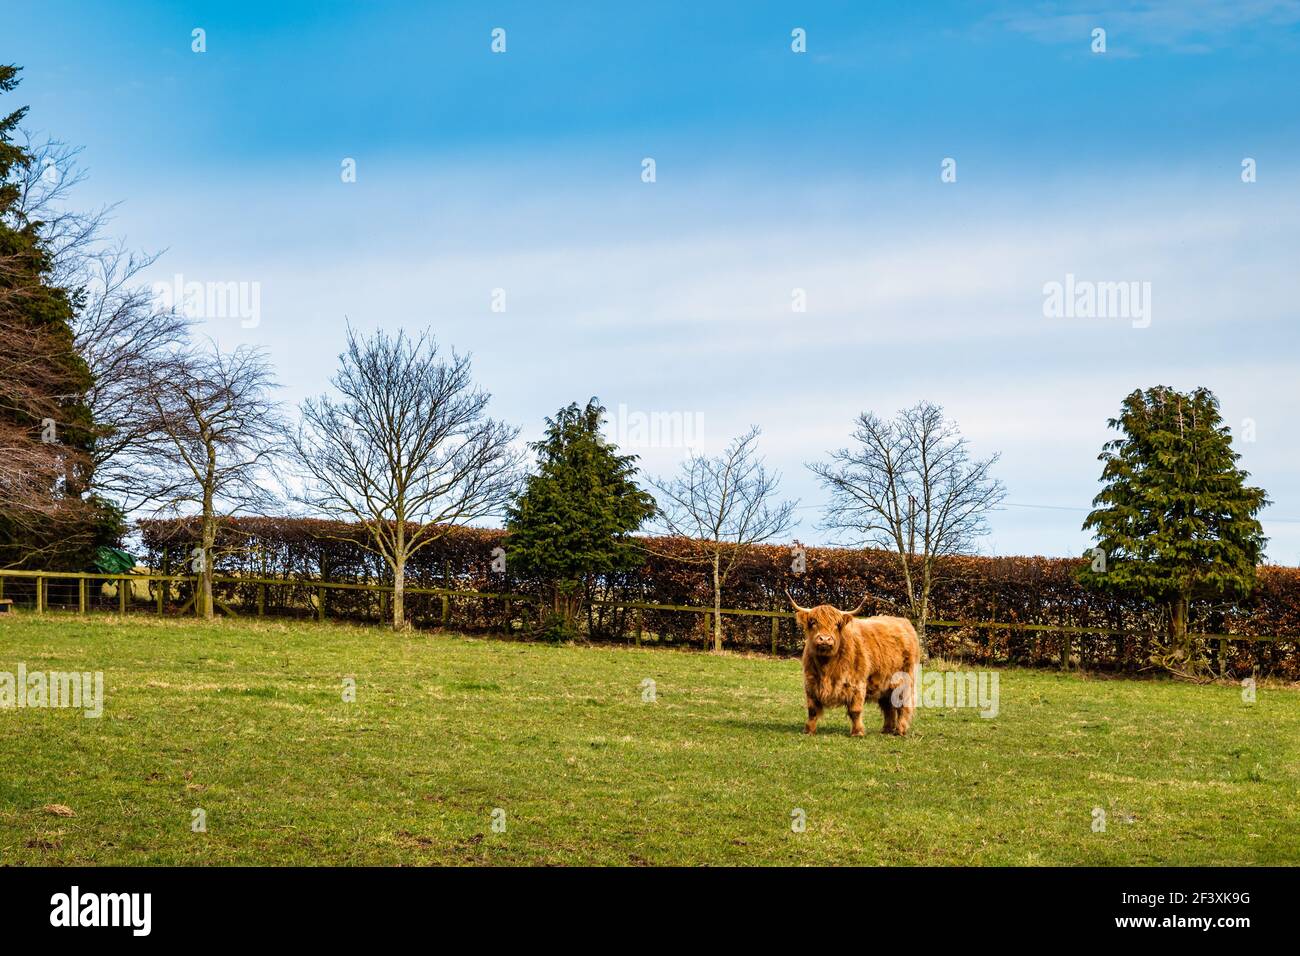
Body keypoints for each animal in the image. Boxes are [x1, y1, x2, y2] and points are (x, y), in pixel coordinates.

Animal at [786, 590, 920, 736]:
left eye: (837, 624)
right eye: (813, 622)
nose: (825, 639)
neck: (826, 666)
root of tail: (904, 622)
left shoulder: (857, 684)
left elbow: (855, 710)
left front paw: (858, 732)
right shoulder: (810, 683)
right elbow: (812, 710)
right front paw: (809, 731)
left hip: (905, 680)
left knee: (902, 705)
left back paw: (900, 730)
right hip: (884, 681)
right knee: (887, 706)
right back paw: (886, 730)